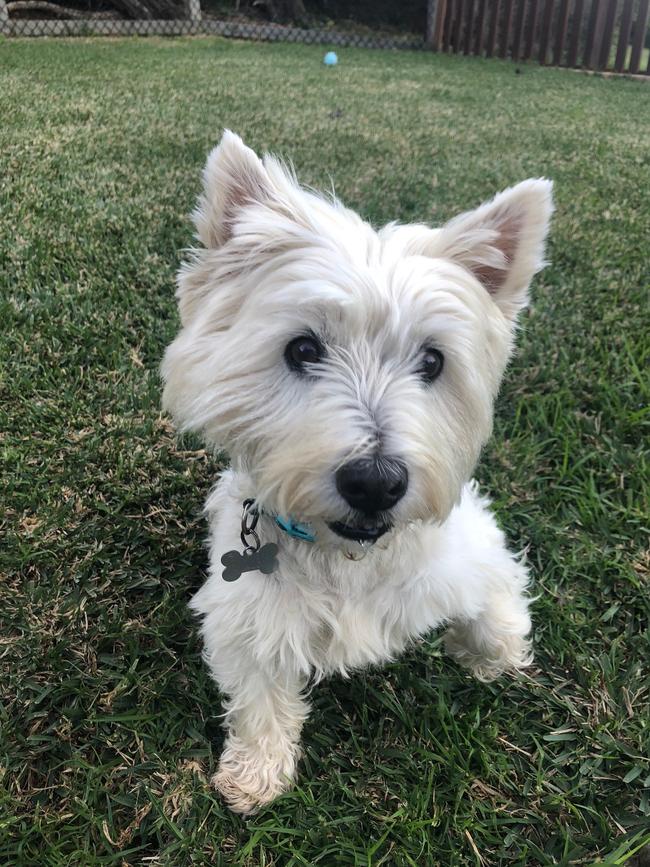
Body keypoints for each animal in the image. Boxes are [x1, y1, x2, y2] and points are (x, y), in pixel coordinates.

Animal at [159, 132, 548, 816]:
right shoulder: (245, 617)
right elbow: (259, 698)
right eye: (302, 349)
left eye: (432, 360)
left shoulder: (470, 549)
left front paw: (492, 655)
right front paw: (255, 774)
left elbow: (498, 605)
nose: (375, 482)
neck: (351, 561)